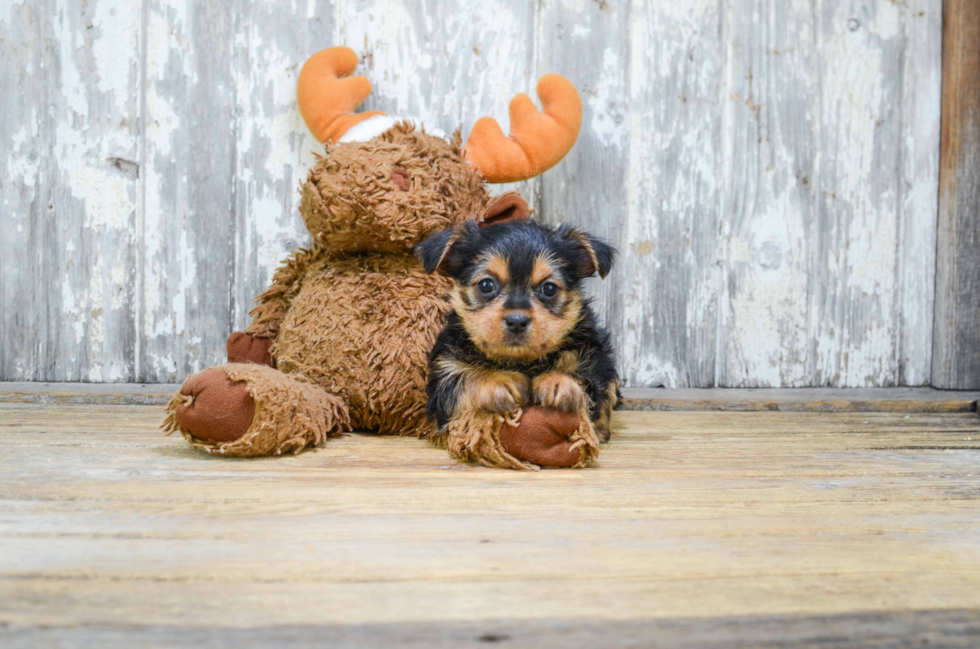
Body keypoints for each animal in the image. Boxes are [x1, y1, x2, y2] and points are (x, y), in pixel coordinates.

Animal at [416, 220, 620, 442]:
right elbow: (462, 379)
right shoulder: (443, 375)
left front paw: (558, 381)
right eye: (486, 285)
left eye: (549, 288)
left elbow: (587, 379)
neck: (519, 361)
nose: (516, 321)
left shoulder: (596, 360)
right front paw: (498, 381)